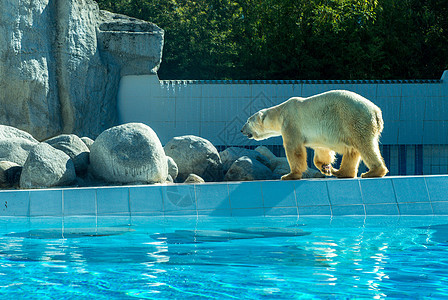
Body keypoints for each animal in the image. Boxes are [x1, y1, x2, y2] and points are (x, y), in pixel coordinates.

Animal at [242, 90, 388, 179]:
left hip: (355, 119)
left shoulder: (291, 123)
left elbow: (294, 149)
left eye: (248, 121)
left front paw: (289, 175)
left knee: (365, 146)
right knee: (352, 150)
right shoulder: (318, 136)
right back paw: (340, 172)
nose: (242, 130)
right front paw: (326, 167)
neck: (280, 113)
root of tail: (377, 112)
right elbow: (322, 149)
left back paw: (372, 172)